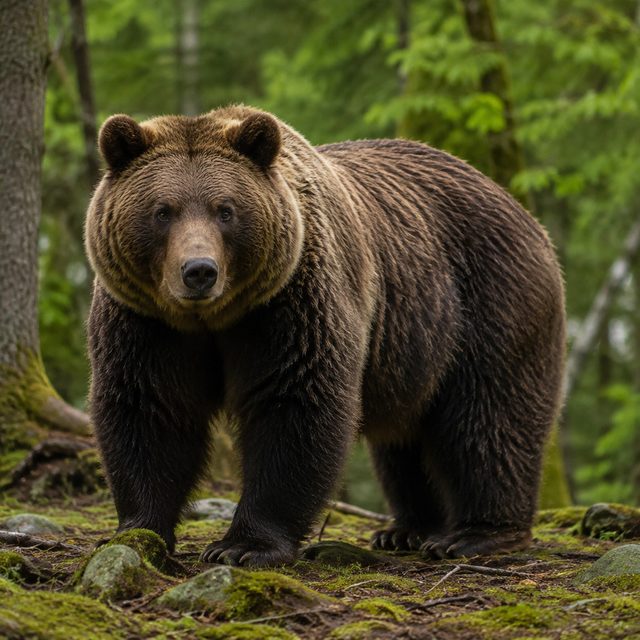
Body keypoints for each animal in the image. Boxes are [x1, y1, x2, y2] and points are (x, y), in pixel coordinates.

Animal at [85, 105, 566, 567]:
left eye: (225, 209)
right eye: (162, 210)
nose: (199, 271)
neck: (214, 319)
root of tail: (519, 208)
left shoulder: (290, 305)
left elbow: (295, 405)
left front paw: (245, 546)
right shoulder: (146, 322)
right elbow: (150, 409)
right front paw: (138, 531)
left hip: (487, 302)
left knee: (488, 415)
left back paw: (477, 534)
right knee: (403, 442)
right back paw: (407, 529)